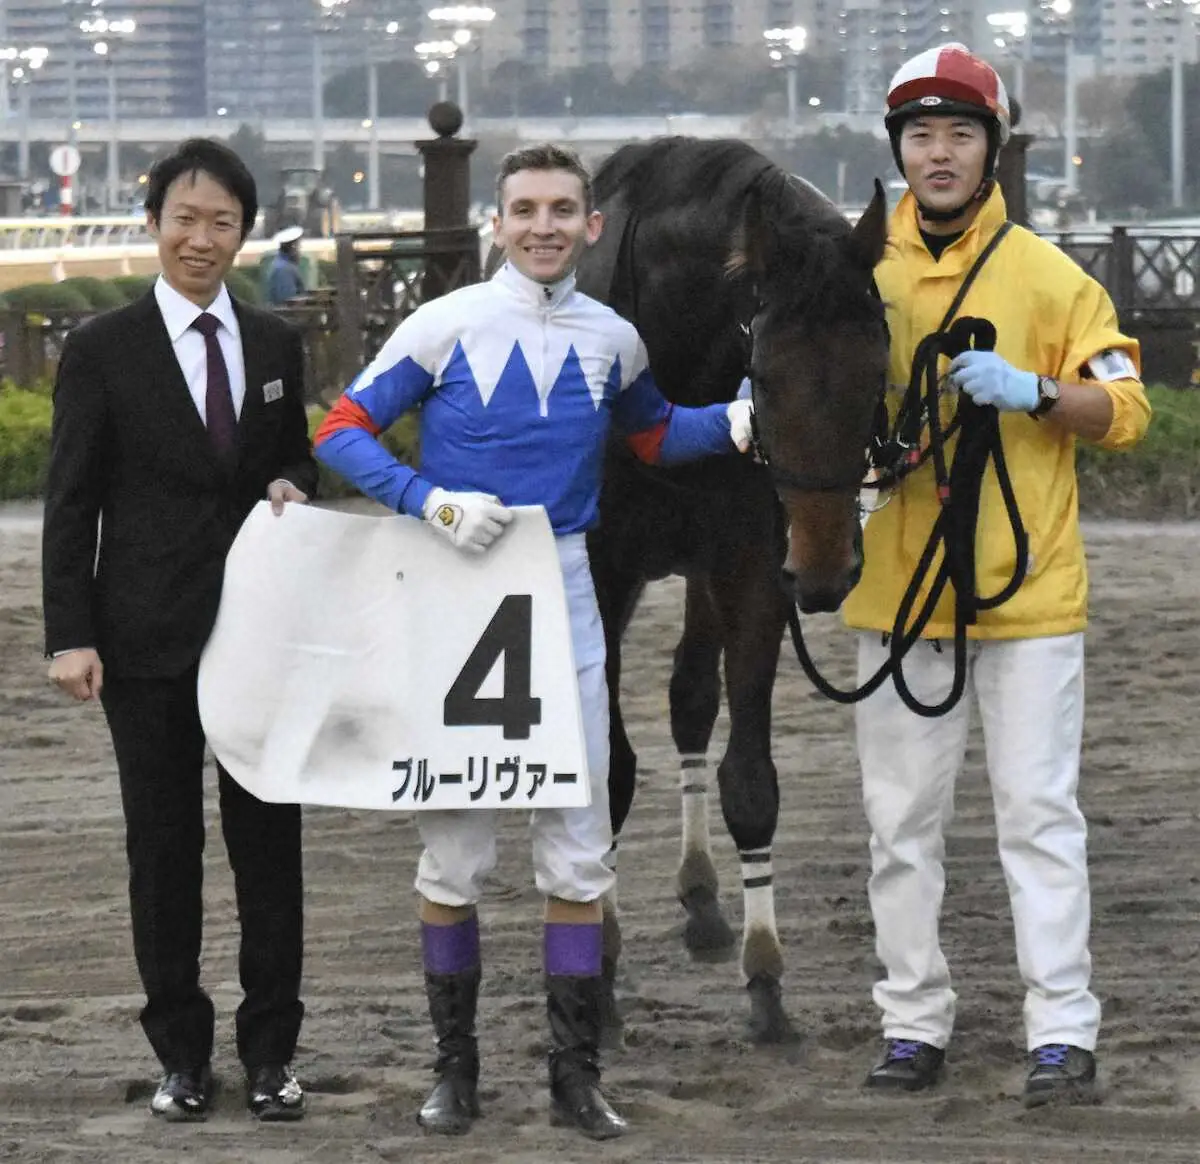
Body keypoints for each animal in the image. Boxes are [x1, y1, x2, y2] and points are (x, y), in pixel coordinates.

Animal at [580, 138, 892, 1041]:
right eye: (767, 373)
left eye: (877, 368)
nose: (826, 569)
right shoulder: (602, 570)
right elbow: (609, 771)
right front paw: (596, 969)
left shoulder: (752, 562)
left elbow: (748, 778)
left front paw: (765, 977)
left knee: (690, 697)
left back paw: (702, 900)